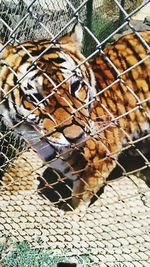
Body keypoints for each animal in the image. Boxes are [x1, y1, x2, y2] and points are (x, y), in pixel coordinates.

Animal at [0, 23, 149, 210]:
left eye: (76, 86)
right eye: (36, 97)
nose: (76, 136)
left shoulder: (100, 164)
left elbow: (80, 196)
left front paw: (72, 212)